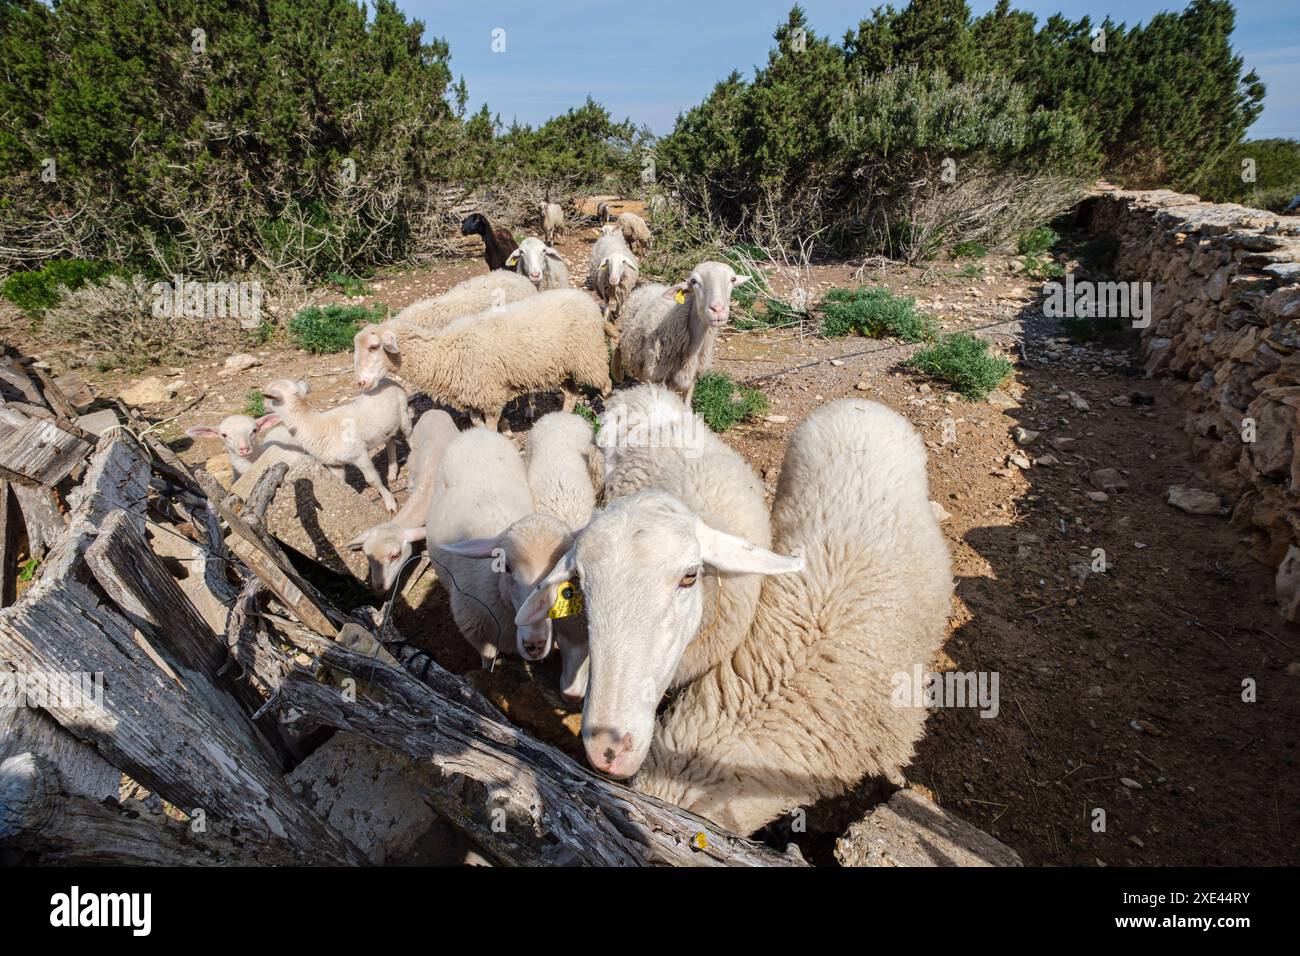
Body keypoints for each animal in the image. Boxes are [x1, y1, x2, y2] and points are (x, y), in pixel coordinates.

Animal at [261, 377, 412, 514]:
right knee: (390, 442)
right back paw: (392, 473)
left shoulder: (359, 455)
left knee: (409, 435)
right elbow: (341, 483)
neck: (316, 426)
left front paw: (390, 502)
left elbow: (372, 480)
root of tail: (387, 379)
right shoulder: (334, 464)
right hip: (386, 427)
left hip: (403, 413)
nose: (263, 405)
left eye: (267, 395)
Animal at [352, 289, 612, 432]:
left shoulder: (490, 396)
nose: (361, 383)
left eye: (374, 347)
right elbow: (478, 425)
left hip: (590, 357)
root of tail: (588, 301)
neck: (446, 353)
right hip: (565, 366)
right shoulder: (471, 399)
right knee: (571, 394)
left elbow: (491, 425)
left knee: (606, 386)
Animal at [428, 429, 588, 695]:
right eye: (506, 567)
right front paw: (488, 674)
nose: (535, 643)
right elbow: (488, 659)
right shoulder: (477, 633)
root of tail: (476, 431)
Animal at [614, 260, 749, 407]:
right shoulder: (659, 377)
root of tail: (649, 285)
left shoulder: (692, 378)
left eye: (733, 279)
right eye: (694, 281)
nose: (717, 309)